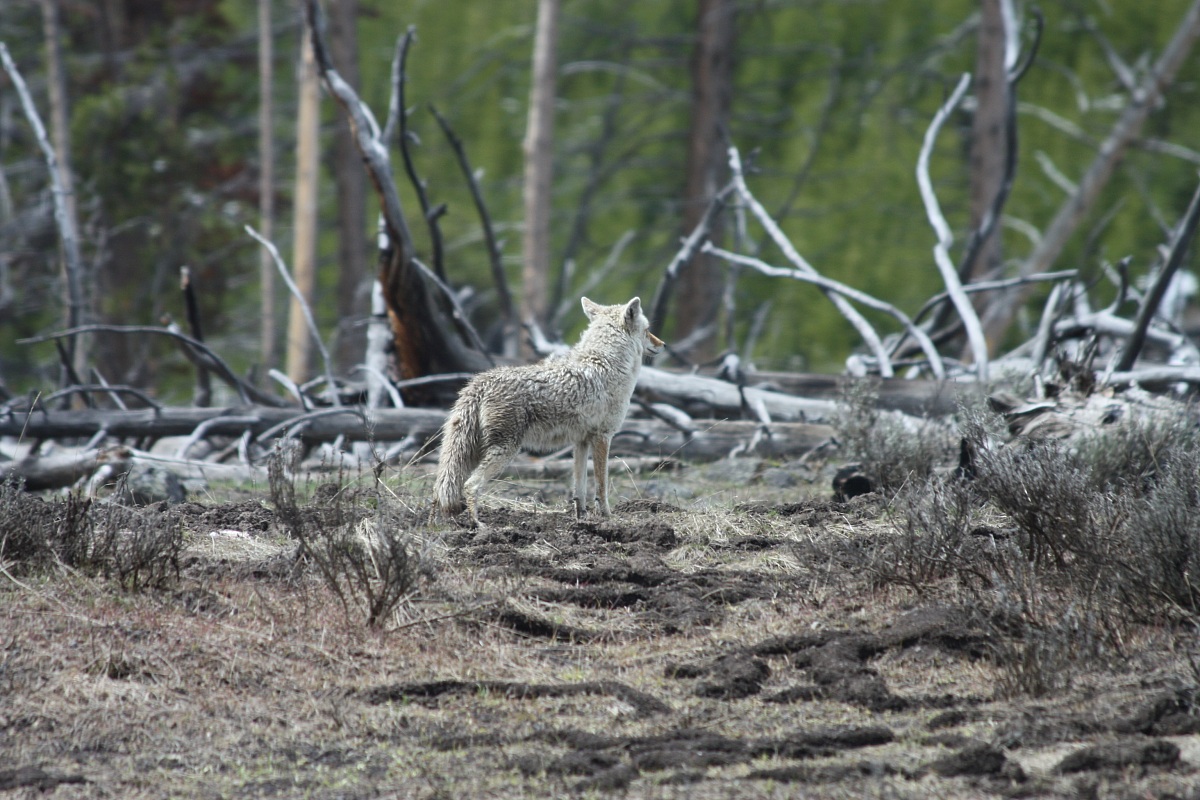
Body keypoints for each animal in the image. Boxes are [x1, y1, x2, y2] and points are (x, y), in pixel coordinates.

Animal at [432, 296, 664, 526]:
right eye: (647, 330)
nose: (663, 344)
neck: (605, 365)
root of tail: (481, 381)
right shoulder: (602, 437)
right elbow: (601, 486)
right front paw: (608, 517)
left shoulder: (581, 441)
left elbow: (579, 489)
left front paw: (582, 520)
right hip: (504, 451)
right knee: (470, 485)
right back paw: (478, 526)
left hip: (473, 453)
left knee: (440, 489)